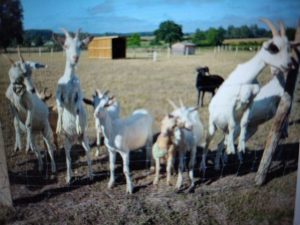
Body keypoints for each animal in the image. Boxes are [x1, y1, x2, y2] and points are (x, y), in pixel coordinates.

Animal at [54, 28, 94, 183]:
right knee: (68, 158)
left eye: (81, 46)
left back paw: (91, 175)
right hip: (67, 141)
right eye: (65, 45)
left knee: (88, 154)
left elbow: (77, 108)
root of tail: (75, 139)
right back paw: (69, 178)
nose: (75, 58)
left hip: (84, 138)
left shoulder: (78, 93)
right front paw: (59, 126)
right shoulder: (59, 93)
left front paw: (77, 125)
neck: (69, 80)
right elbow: (60, 108)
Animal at [203, 18, 292, 171]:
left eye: (287, 47)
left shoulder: (250, 102)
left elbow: (243, 122)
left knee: (225, 139)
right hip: (212, 126)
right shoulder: (231, 104)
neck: (247, 78)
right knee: (208, 143)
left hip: (241, 129)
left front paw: (241, 148)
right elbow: (233, 124)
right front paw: (232, 150)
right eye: (274, 48)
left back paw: (224, 161)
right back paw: (204, 166)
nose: (288, 64)